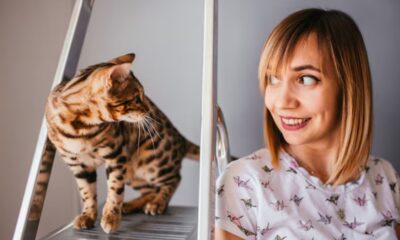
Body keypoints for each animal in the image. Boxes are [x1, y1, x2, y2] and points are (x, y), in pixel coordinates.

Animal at [45, 53, 200, 233]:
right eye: (137, 98)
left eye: (143, 96)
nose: (149, 110)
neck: (80, 127)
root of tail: (180, 138)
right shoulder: (78, 164)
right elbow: (87, 193)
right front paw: (88, 216)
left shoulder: (116, 155)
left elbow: (115, 189)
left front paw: (111, 217)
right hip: (133, 170)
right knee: (150, 189)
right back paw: (131, 205)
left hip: (151, 161)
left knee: (174, 179)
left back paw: (157, 203)